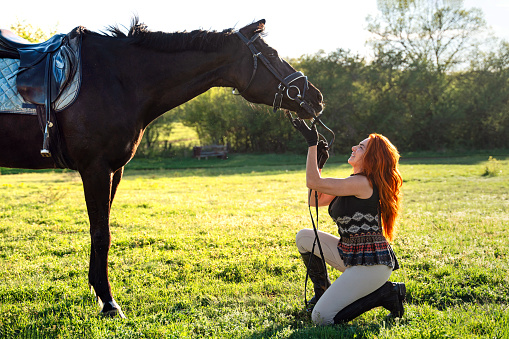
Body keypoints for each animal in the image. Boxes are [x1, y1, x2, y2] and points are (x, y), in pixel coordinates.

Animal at [0, 18, 324, 318]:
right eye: (271, 54)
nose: (316, 97)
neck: (116, 79)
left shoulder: (113, 171)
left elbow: (99, 232)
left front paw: (98, 292)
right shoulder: (95, 169)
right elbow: (101, 234)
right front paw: (109, 303)